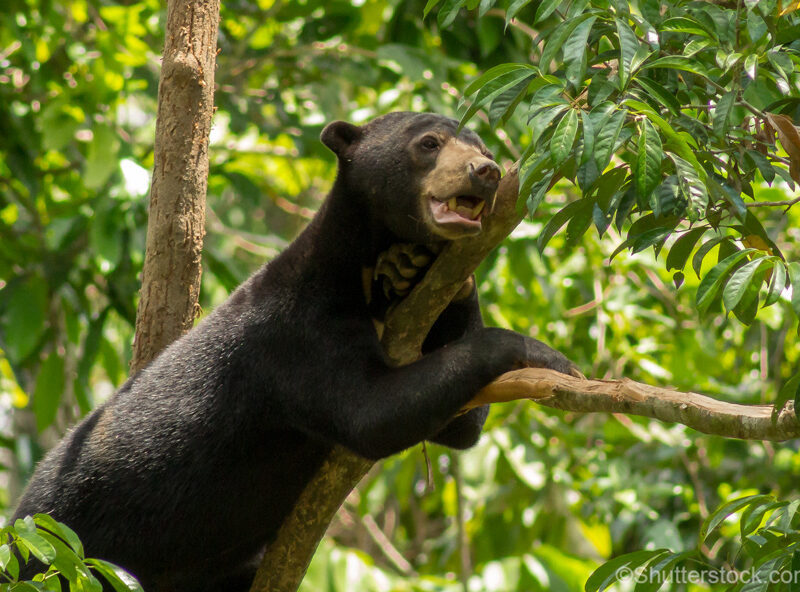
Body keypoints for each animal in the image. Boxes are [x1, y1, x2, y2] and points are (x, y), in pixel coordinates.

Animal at [12, 112, 577, 591]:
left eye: (485, 147)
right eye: (429, 143)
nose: (486, 171)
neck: (354, 269)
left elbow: (460, 424)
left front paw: (410, 267)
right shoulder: (295, 334)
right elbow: (372, 412)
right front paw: (547, 356)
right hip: (63, 553)